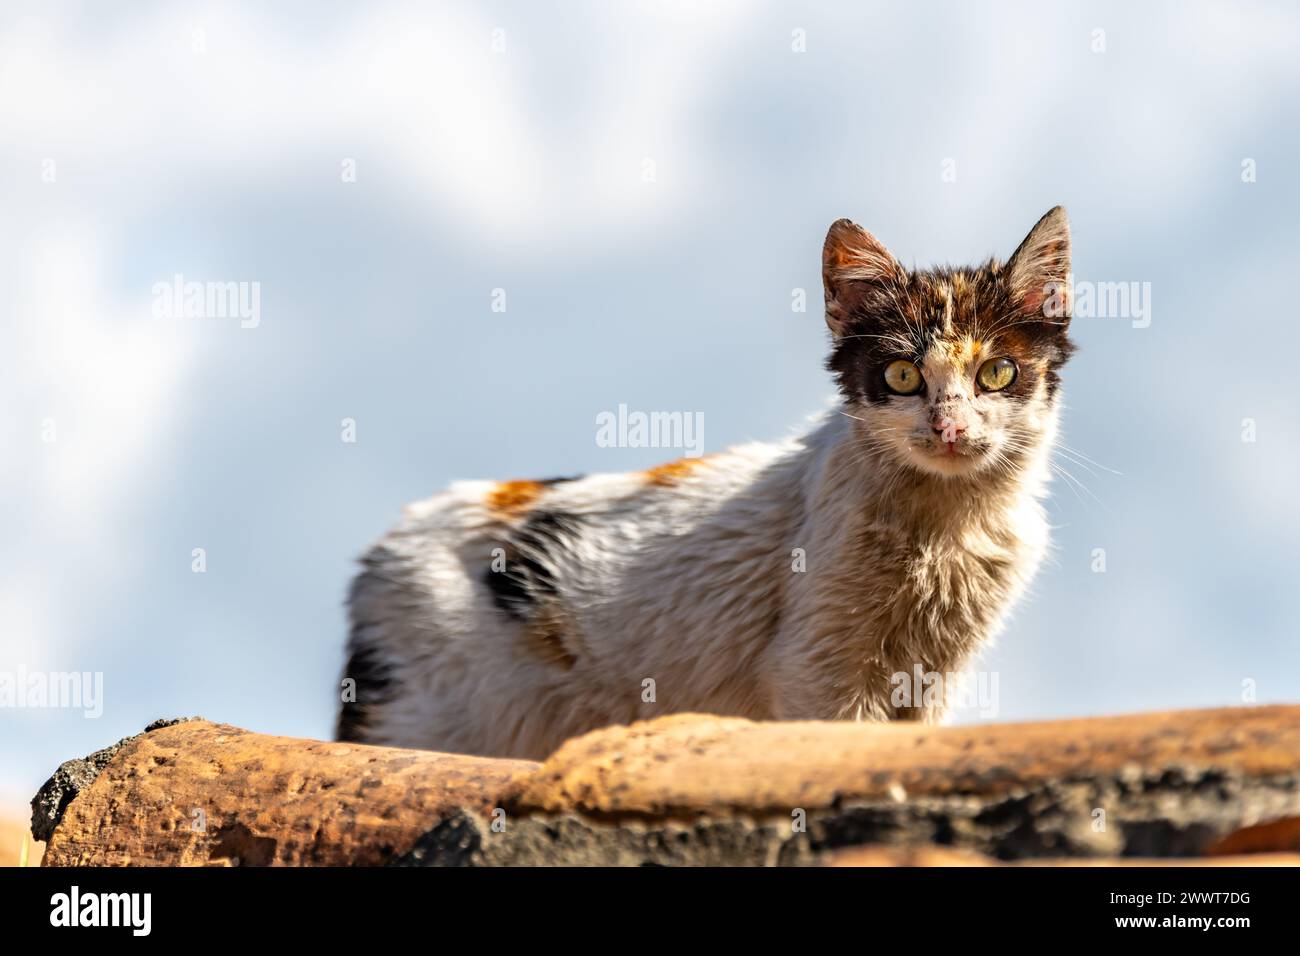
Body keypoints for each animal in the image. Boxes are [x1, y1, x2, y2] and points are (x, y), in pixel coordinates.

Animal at [338, 205, 1076, 759]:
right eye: (901, 376)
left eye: (997, 373)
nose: (950, 427)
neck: (946, 526)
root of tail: (378, 553)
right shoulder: (818, 669)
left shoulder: (929, 678)